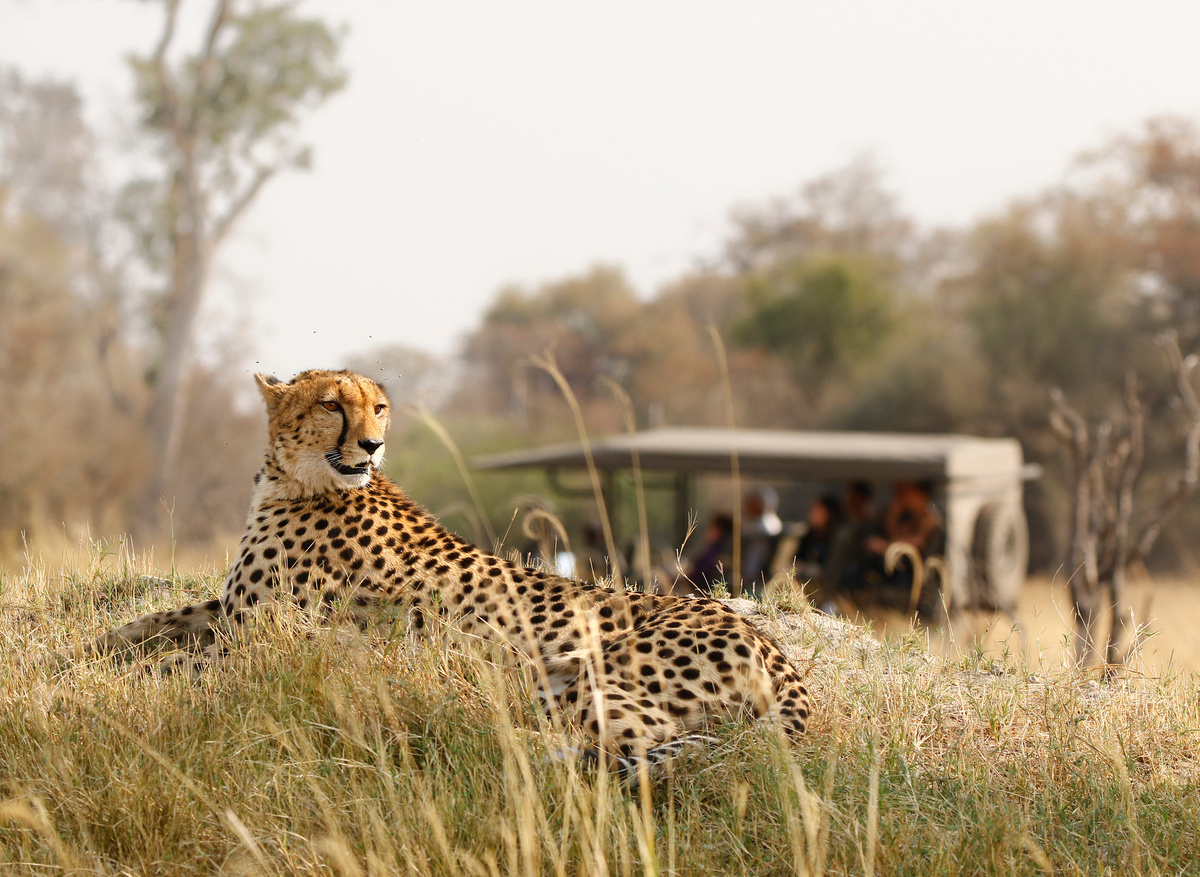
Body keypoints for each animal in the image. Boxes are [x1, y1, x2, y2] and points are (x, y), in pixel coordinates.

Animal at [95, 369, 812, 771]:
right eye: (332, 405)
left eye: (378, 407)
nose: (373, 443)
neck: (296, 480)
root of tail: (771, 644)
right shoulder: (232, 609)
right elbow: (153, 622)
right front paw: (92, 647)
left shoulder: (266, 634)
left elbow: (174, 663)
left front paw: (115, 678)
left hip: (582, 674)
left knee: (649, 740)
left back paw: (485, 734)